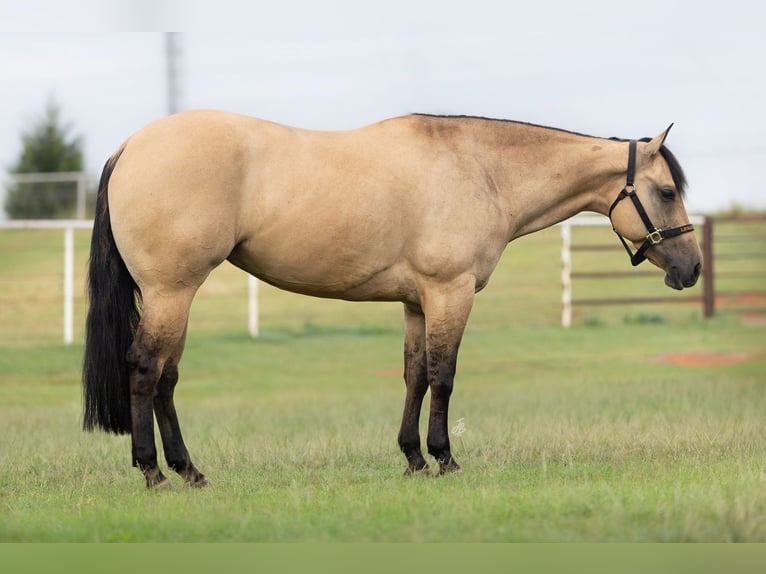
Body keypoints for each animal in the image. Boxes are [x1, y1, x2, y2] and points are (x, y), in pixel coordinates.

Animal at [82, 111, 702, 488]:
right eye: (666, 191)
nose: (692, 268)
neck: (481, 170)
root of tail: (130, 147)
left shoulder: (417, 302)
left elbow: (415, 376)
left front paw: (412, 459)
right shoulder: (451, 292)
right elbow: (444, 376)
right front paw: (445, 458)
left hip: (177, 297)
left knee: (166, 378)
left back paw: (190, 471)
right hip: (172, 292)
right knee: (145, 369)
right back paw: (154, 473)